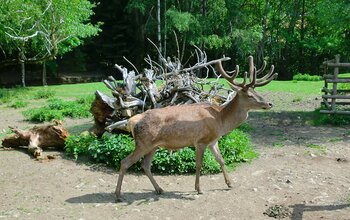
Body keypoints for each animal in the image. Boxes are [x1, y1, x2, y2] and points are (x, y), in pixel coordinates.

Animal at [113, 55, 278, 202]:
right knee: (125, 162)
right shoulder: (201, 141)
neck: (220, 120)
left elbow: (221, 160)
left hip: (153, 146)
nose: (269, 103)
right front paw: (198, 189)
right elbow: (198, 165)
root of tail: (133, 120)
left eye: (257, 92)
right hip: (143, 143)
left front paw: (230, 183)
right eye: (249, 95)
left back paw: (159, 189)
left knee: (145, 165)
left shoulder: (213, 141)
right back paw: (118, 195)